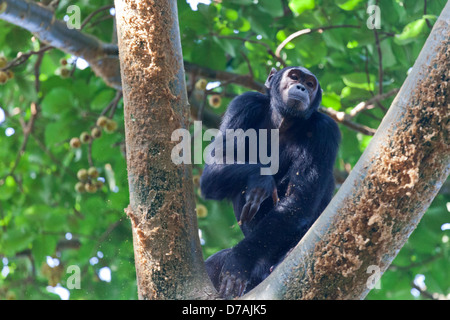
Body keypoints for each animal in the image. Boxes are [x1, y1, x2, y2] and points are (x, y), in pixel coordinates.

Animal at [199, 66, 340, 298]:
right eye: (294, 76)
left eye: (310, 84)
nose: (301, 87)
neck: (283, 122)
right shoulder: (244, 104)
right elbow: (215, 166)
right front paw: (261, 180)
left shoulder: (326, 130)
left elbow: (299, 201)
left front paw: (239, 261)